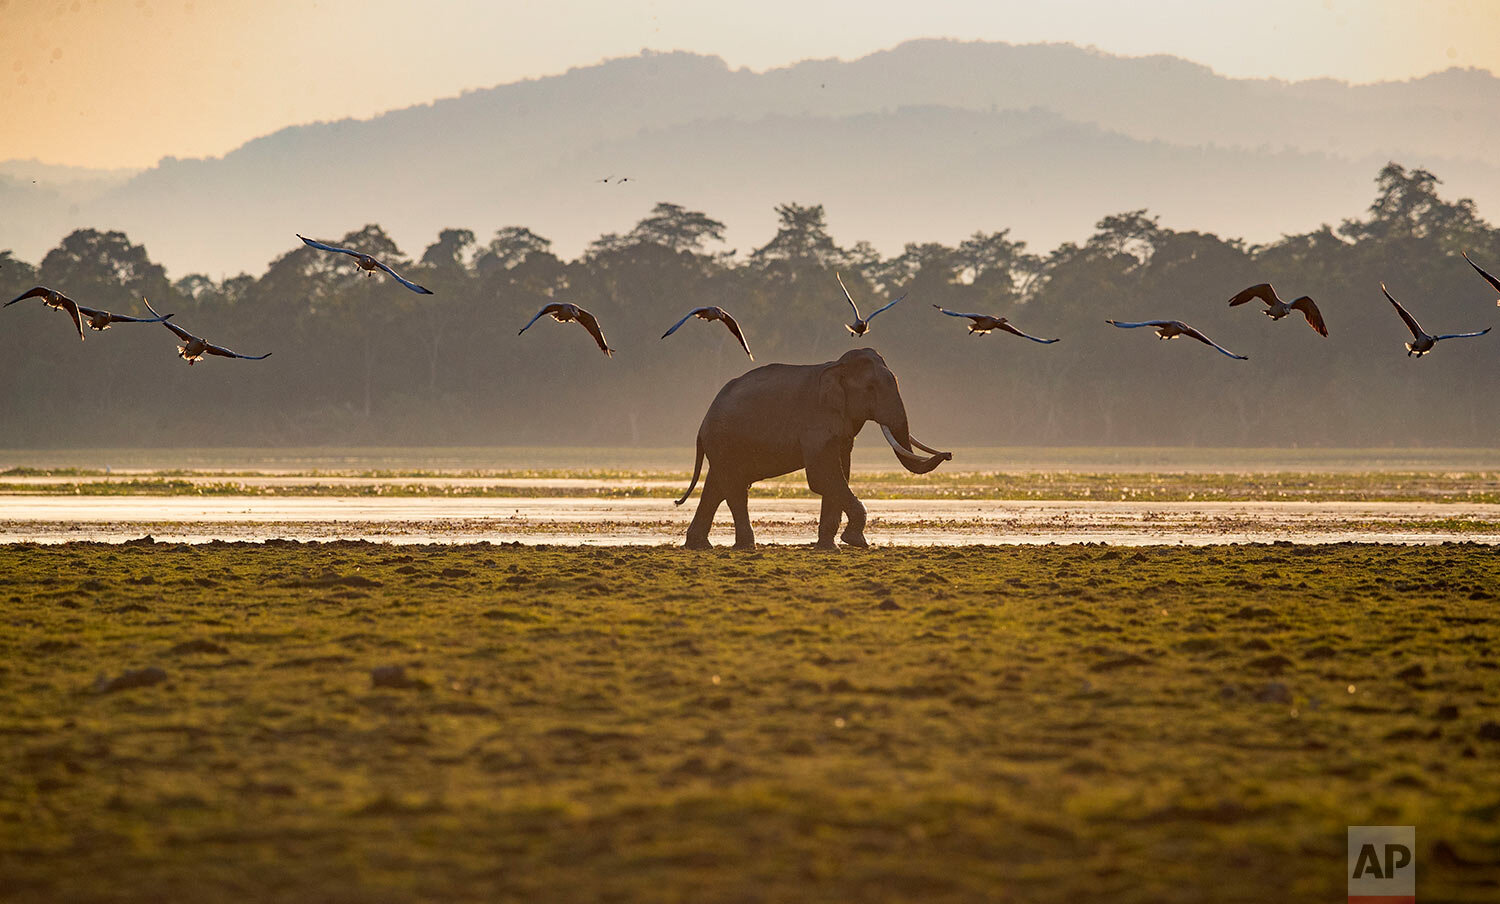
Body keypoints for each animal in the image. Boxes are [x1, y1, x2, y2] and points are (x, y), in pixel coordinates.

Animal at [678, 346, 948, 548]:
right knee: (734, 489)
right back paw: (745, 546)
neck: (837, 366)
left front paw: (830, 547)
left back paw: (700, 546)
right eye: (871, 389)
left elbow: (840, 473)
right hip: (724, 441)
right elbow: (822, 476)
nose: (948, 454)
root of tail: (703, 422)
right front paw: (856, 541)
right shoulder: (816, 421)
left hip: (725, 445)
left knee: (717, 487)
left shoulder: (841, 426)